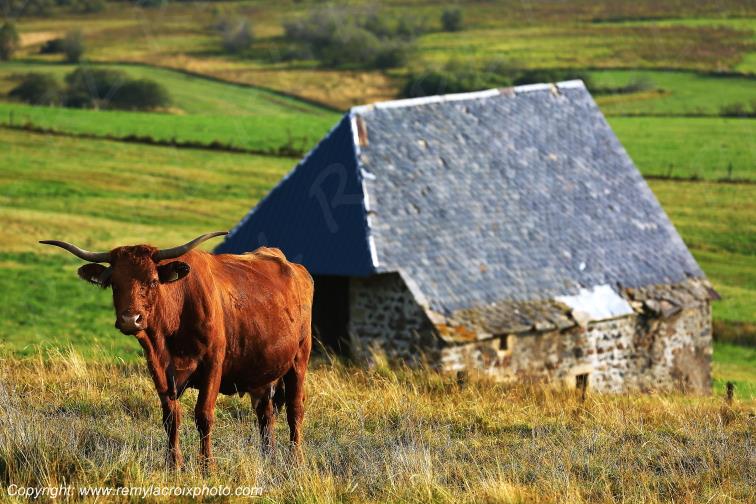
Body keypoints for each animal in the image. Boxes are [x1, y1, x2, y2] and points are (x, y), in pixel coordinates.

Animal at [40, 232, 313, 470]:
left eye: (152, 281)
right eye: (114, 284)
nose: (130, 320)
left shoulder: (213, 365)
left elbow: (204, 416)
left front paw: (207, 466)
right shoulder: (159, 369)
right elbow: (171, 418)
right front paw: (173, 464)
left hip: (299, 359)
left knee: (294, 410)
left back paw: (296, 460)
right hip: (262, 372)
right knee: (265, 415)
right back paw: (269, 457)